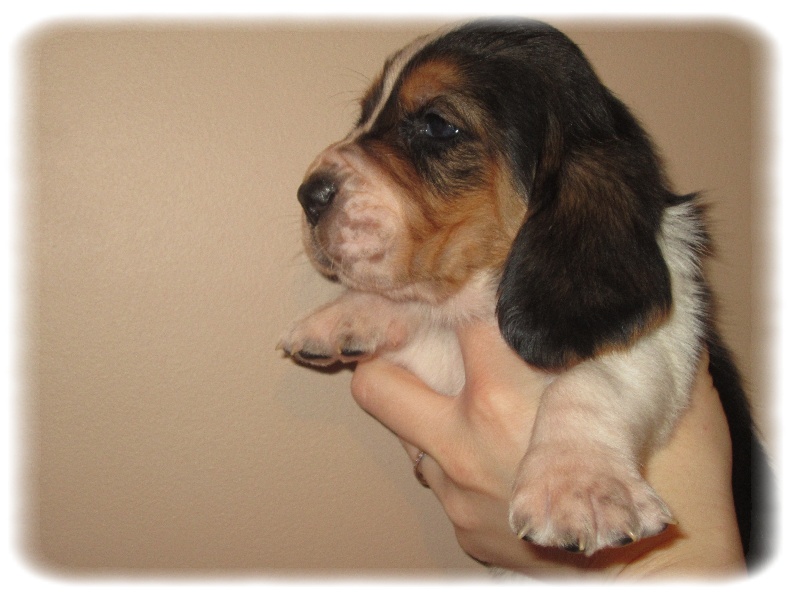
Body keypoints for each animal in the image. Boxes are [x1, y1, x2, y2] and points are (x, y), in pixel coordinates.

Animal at [281, 19, 769, 566]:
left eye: (436, 125)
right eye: (363, 114)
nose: (308, 195)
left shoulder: (668, 333)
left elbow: (588, 382)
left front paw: (579, 486)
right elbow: (417, 305)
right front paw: (341, 315)